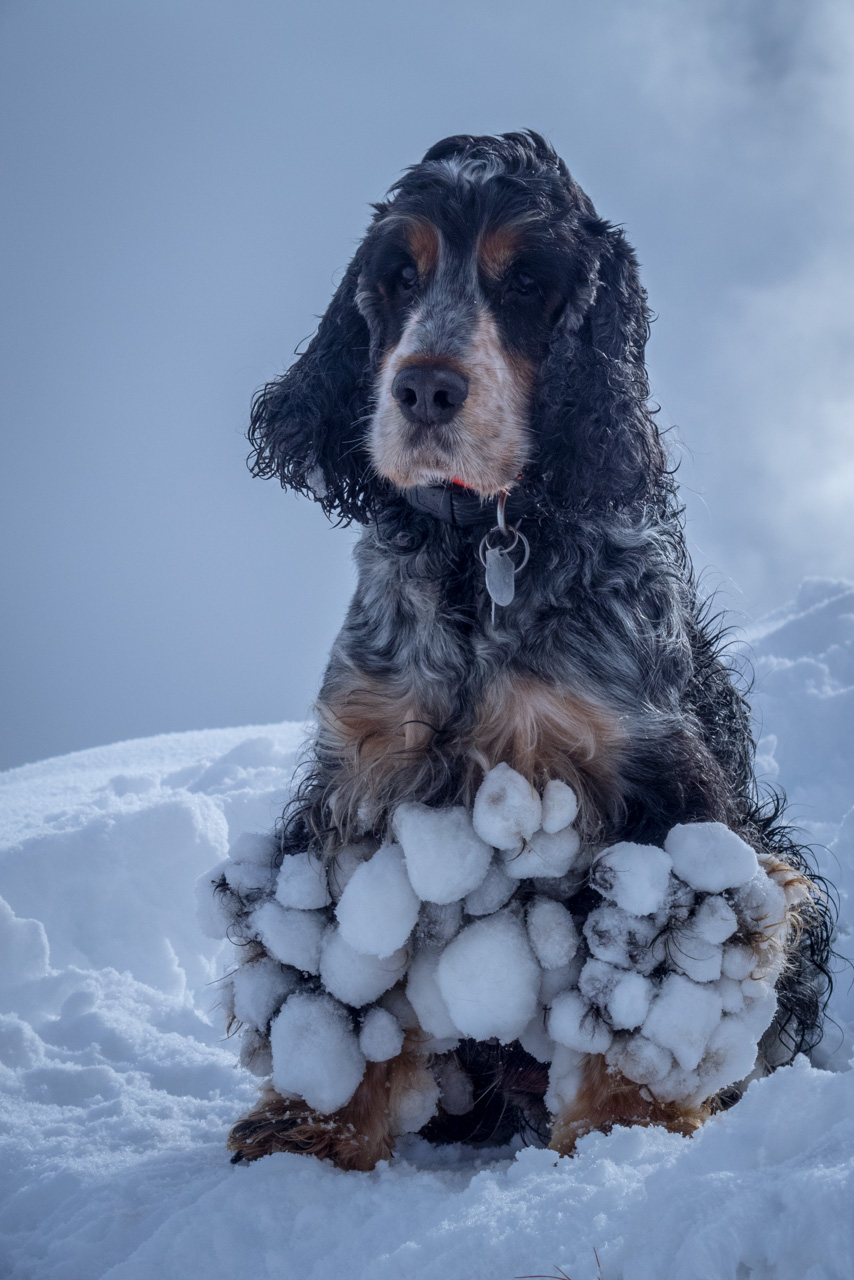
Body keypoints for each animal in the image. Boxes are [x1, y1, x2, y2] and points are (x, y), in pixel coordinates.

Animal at [226, 132, 834, 1172]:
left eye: (527, 283)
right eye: (397, 275)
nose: (425, 388)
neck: (480, 552)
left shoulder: (655, 794)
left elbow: (646, 981)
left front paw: (621, 1131)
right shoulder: (367, 775)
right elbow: (348, 972)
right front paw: (316, 1123)